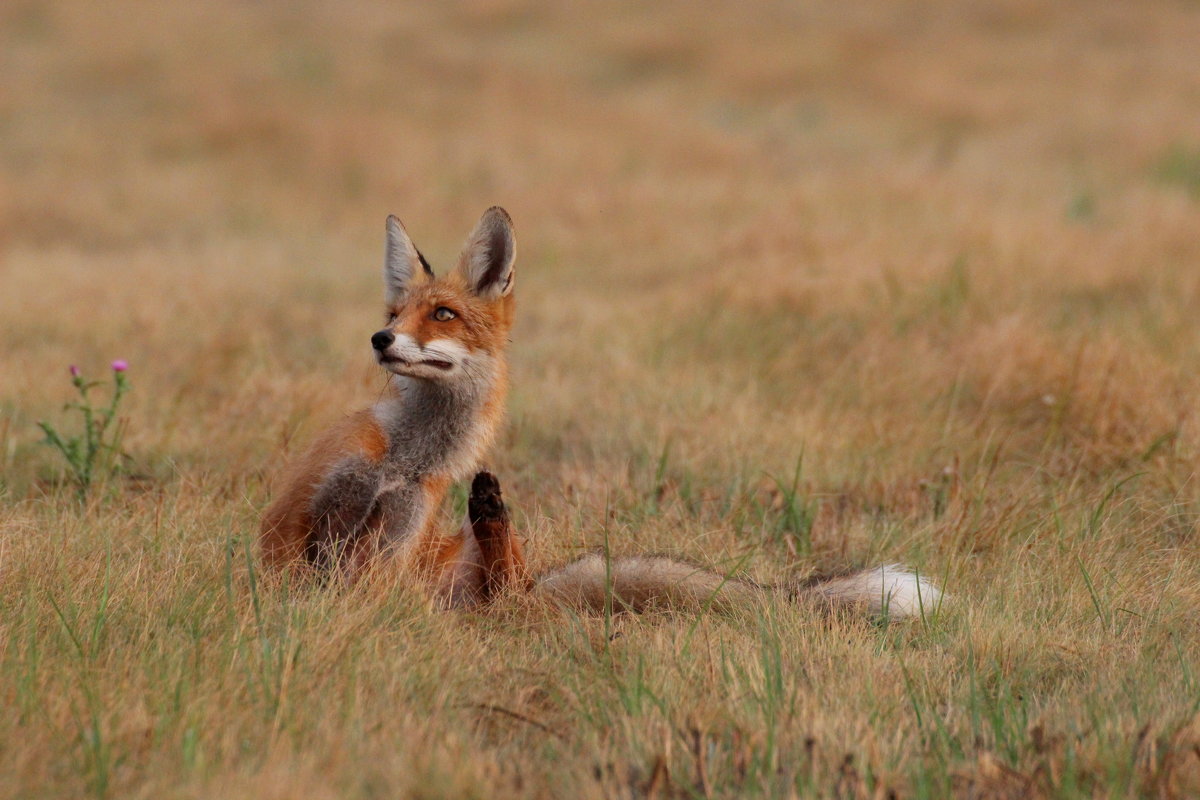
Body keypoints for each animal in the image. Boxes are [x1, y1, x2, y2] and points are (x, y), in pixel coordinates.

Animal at [258, 208, 940, 618]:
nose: (380, 339)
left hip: (481, 581)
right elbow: (282, 576)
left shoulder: (393, 544)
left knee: (507, 590)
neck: (404, 461)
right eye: (395, 314)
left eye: (442, 315)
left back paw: (492, 515)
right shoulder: (299, 514)